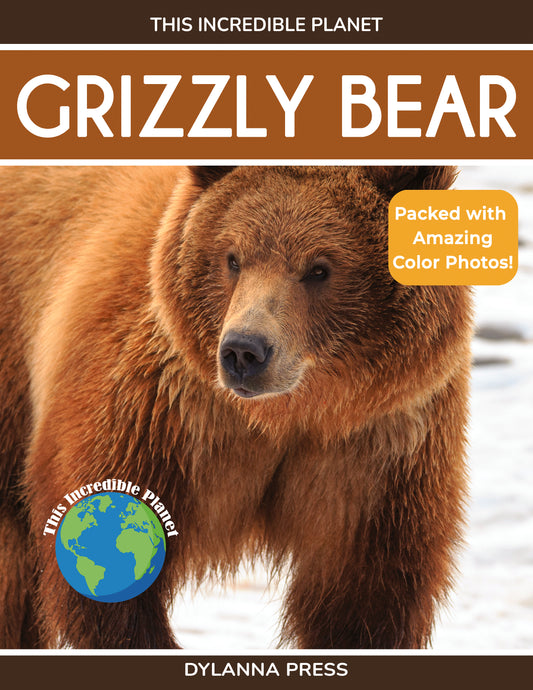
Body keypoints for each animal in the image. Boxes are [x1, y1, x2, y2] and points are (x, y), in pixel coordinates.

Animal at [0, 165, 471, 649]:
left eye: (320, 268)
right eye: (232, 258)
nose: (244, 351)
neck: (284, 416)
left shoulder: (377, 453)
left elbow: (364, 600)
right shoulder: (159, 417)